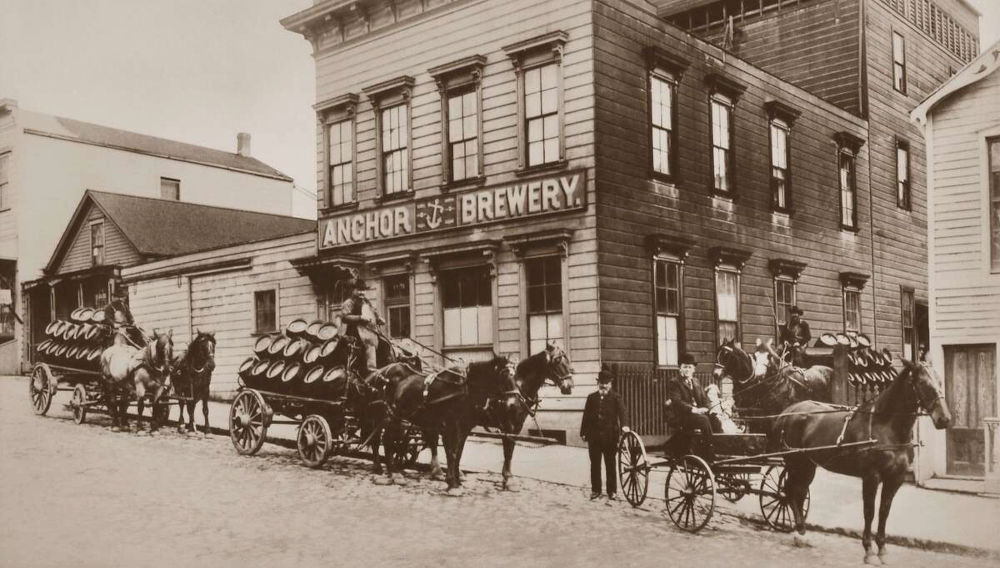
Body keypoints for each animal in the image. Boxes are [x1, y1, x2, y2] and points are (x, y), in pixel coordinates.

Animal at [772, 360, 952, 564]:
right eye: (922, 383)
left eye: (940, 380)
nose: (944, 419)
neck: (886, 426)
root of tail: (787, 412)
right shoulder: (871, 477)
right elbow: (869, 511)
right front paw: (869, 551)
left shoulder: (895, 478)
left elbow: (884, 511)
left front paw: (882, 550)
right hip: (795, 463)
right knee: (790, 491)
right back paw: (798, 532)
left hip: (808, 465)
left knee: (799, 492)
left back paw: (801, 533)